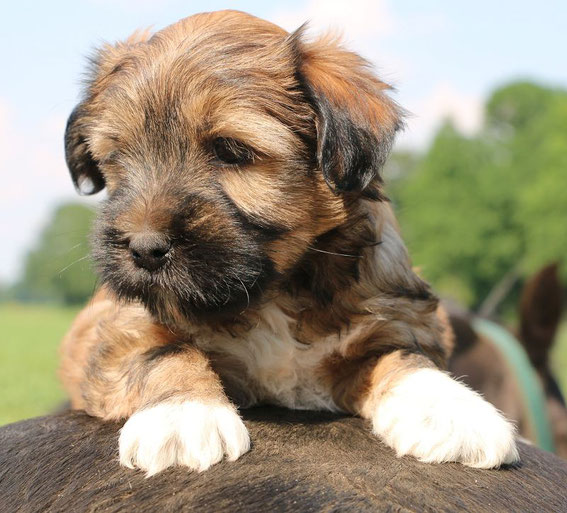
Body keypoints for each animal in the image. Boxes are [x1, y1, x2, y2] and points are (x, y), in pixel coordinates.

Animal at [58, 11, 520, 476]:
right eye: (117, 156)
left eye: (231, 151)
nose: (144, 248)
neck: (273, 292)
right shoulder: (118, 327)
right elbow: (161, 350)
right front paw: (183, 413)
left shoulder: (391, 320)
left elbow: (404, 358)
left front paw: (451, 411)